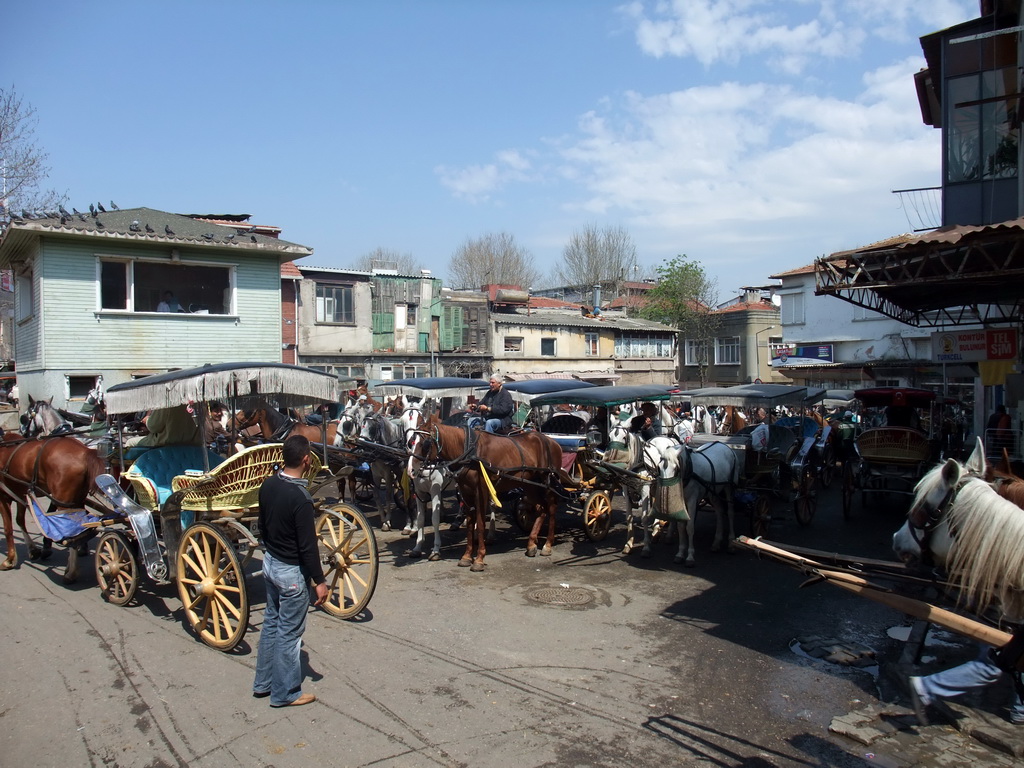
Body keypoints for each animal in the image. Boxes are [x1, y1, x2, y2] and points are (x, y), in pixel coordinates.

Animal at [0, 436, 108, 581]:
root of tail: (84, 451)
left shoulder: (3, 496)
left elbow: (8, 528)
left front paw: (10, 559)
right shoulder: (19, 493)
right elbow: (20, 520)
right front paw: (33, 550)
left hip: (64, 502)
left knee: (72, 534)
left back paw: (71, 572)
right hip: (76, 501)